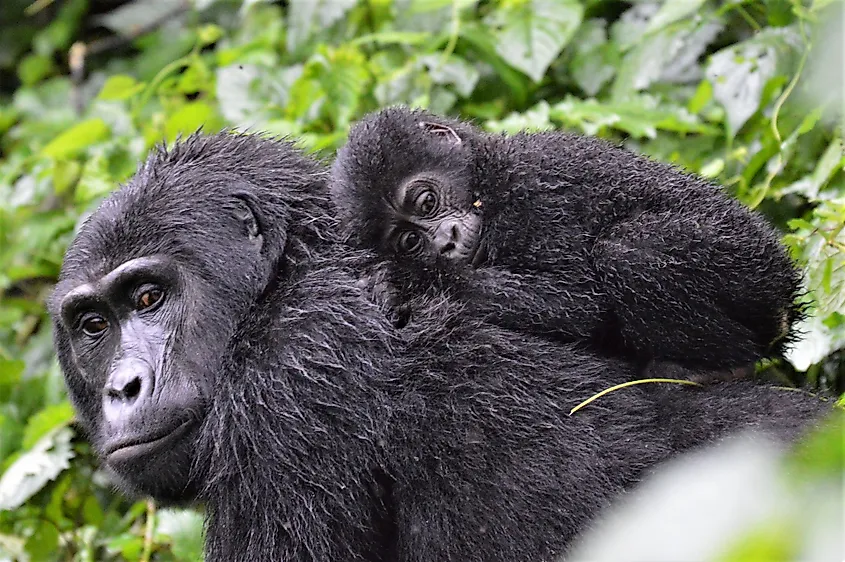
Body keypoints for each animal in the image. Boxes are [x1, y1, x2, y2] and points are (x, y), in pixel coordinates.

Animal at [328, 107, 796, 374]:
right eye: (410, 241)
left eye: (427, 201)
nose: (445, 242)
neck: (487, 177)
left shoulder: (533, 189)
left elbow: (578, 301)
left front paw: (408, 282)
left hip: (751, 266)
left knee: (631, 252)